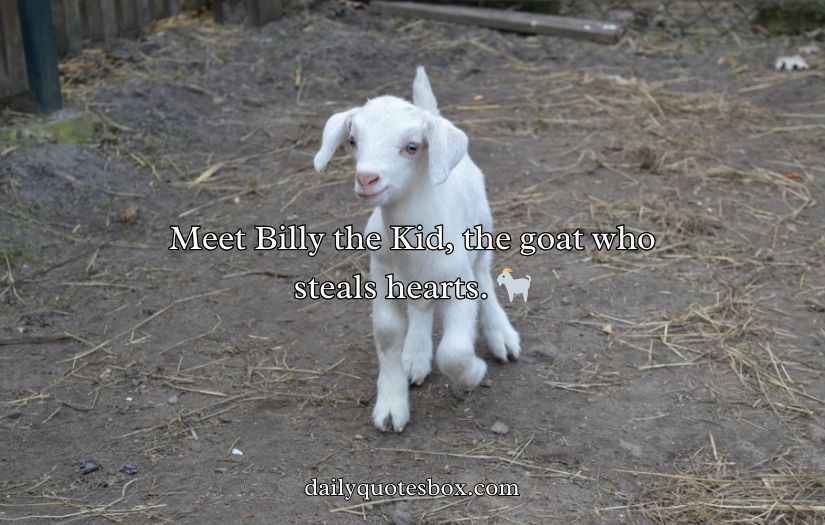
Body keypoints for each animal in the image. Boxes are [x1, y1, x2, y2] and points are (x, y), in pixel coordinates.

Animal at [313, 66, 521, 432]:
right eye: (353, 141)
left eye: (412, 147)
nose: (367, 179)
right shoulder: (382, 278)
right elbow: (387, 334)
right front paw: (391, 404)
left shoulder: (458, 285)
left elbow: (454, 351)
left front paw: (473, 374)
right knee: (421, 307)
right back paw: (415, 354)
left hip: (482, 233)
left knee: (484, 277)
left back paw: (501, 335)